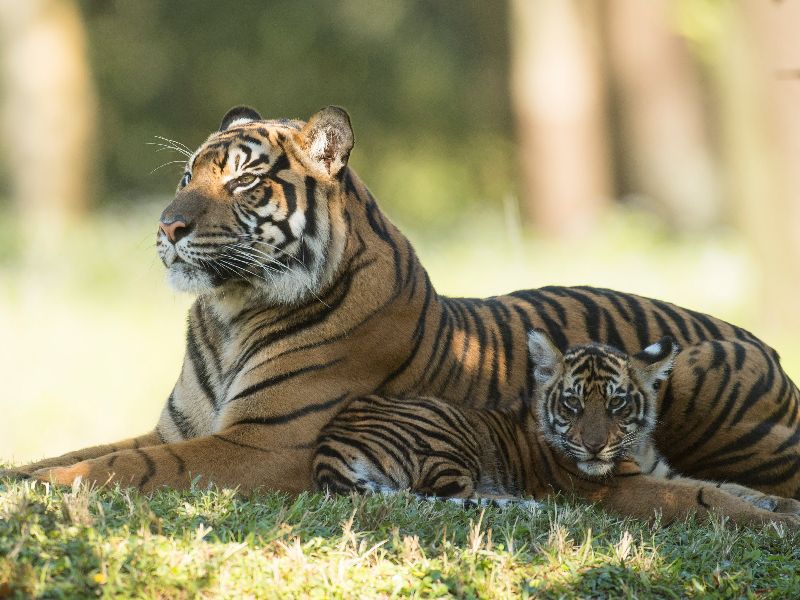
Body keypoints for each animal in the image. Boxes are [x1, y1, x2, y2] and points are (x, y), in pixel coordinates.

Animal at [4, 105, 799, 501]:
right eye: (187, 176)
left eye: (242, 182)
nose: (166, 228)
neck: (226, 314)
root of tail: (762, 339)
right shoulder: (178, 429)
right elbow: (81, 450)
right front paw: (23, 473)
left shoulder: (264, 446)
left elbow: (119, 468)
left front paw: (43, 490)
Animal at [313, 331, 800, 525]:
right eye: (572, 404)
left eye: (618, 404)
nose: (594, 447)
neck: (636, 449)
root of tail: (325, 450)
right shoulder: (626, 489)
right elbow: (712, 497)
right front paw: (781, 526)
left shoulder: (662, 472)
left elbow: (734, 487)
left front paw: (787, 507)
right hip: (444, 433)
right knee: (446, 495)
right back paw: (526, 504)